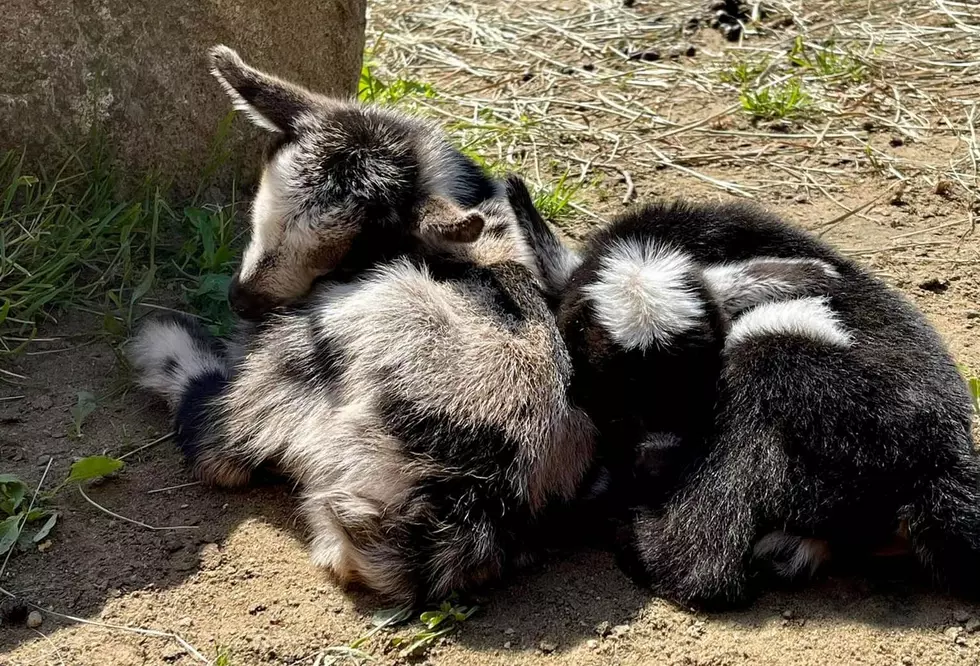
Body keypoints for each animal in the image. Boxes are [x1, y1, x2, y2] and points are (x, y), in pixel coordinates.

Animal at [128, 50, 588, 600]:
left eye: (348, 254)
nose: (241, 301)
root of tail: (461, 510)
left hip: (309, 361)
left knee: (219, 448)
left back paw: (163, 343)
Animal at [512, 187, 980, 608]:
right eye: (604, 396)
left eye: (703, 388)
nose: (658, 467)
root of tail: (939, 469)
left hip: (790, 373)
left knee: (704, 563)